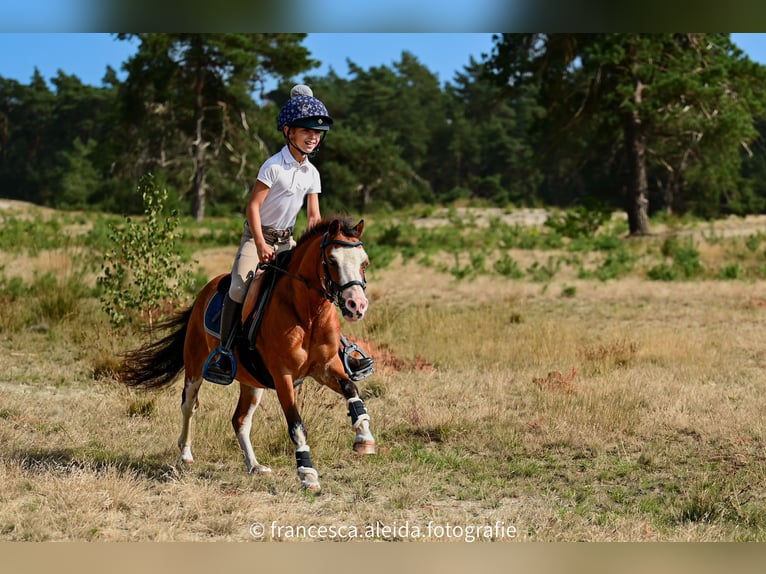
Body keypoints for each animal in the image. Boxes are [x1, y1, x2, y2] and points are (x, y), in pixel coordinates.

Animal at [119, 218, 378, 492]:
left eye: (364, 262)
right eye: (332, 260)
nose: (356, 306)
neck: (308, 313)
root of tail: (205, 292)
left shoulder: (325, 367)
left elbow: (351, 389)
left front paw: (364, 438)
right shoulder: (283, 376)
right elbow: (296, 425)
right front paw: (308, 474)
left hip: (252, 382)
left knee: (240, 420)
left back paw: (254, 465)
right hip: (195, 366)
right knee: (189, 405)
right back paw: (186, 454)